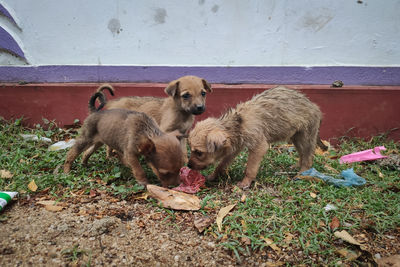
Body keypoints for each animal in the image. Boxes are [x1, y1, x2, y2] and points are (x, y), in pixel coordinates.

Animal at [186, 87, 326, 189]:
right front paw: (214, 175)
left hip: (306, 136)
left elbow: (250, 168)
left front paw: (246, 182)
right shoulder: (235, 147)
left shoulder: (259, 147)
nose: (188, 165)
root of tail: (314, 106)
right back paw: (297, 166)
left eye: (199, 153)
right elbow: (222, 164)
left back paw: (302, 173)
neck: (238, 123)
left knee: (308, 158)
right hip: (296, 137)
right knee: (302, 154)